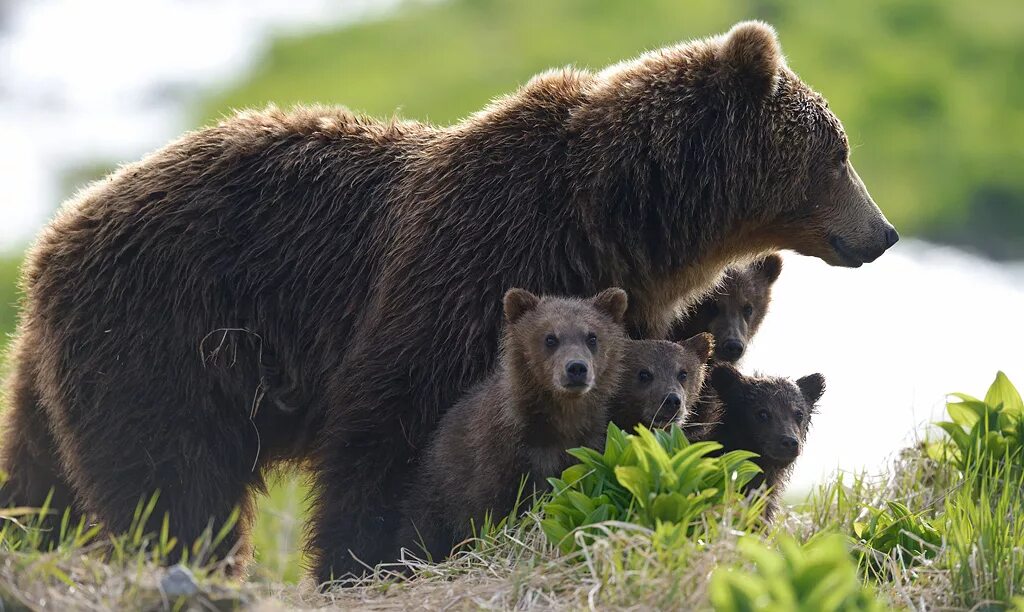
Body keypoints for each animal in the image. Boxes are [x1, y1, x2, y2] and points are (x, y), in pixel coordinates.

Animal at [397, 288, 622, 560]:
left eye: (592, 337)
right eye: (550, 338)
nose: (576, 368)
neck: (557, 423)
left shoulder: (584, 447)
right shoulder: (496, 457)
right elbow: (487, 510)